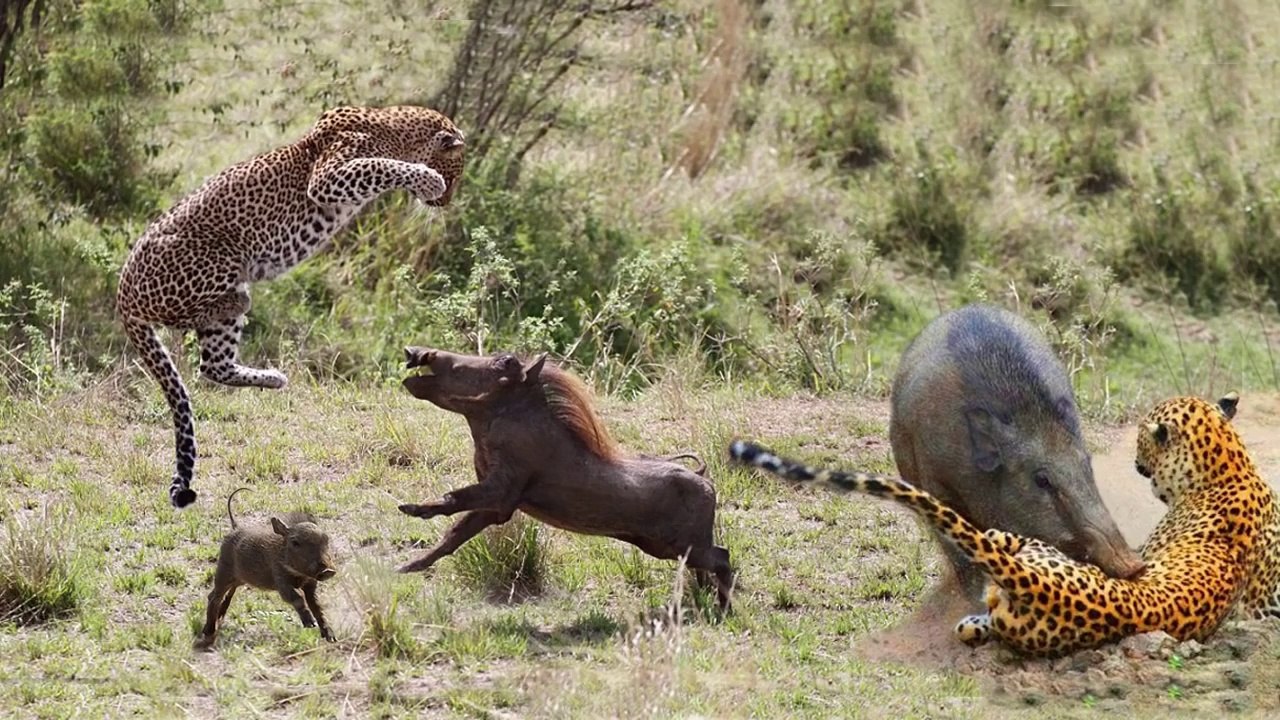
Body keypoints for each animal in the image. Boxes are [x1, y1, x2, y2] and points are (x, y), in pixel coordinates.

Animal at [117, 105, 466, 508]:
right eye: (454, 174)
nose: (445, 202)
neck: (395, 131)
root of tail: (121, 289)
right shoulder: (329, 176)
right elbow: (381, 165)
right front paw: (427, 179)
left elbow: (383, 165)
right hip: (217, 259)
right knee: (190, 315)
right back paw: (235, 300)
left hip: (217, 326)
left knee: (213, 365)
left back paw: (272, 376)